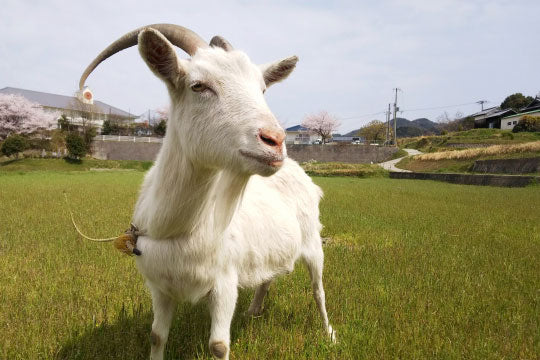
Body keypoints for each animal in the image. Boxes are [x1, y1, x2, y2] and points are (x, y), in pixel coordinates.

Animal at [79, 23, 334, 358]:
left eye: (262, 89)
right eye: (198, 86)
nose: (275, 141)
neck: (177, 227)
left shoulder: (224, 282)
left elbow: (218, 344)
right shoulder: (160, 287)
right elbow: (156, 336)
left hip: (312, 242)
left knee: (318, 290)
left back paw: (329, 334)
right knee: (267, 278)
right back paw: (254, 311)